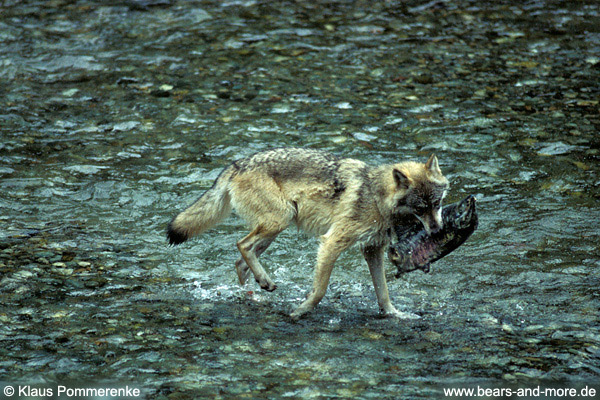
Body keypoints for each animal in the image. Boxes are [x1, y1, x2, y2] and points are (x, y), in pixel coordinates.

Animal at [166, 147, 448, 318]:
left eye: (437, 204)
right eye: (420, 209)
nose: (437, 231)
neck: (377, 197)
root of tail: (236, 165)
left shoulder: (371, 250)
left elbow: (384, 293)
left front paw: (395, 315)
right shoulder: (331, 243)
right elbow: (320, 290)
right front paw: (300, 311)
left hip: (274, 229)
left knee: (240, 261)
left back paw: (256, 289)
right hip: (279, 221)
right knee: (241, 245)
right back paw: (263, 282)